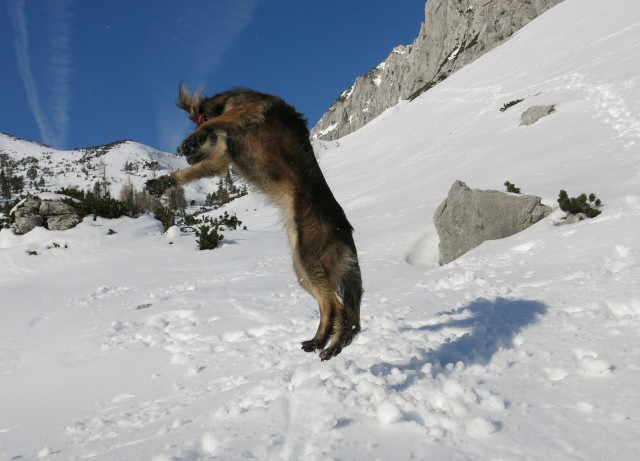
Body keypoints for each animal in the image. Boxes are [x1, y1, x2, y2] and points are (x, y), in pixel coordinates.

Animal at [147, 85, 362, 360]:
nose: (187, 157)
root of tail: (345, 229)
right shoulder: (220, 155)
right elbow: (193, 171)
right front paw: (161, 183)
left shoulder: (252, 107)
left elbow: (217, 121)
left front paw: (193, 137)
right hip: (302, 268)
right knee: (328, 307)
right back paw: (319, 341)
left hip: (310, 257)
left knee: (337, 307)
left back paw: (332, 345)